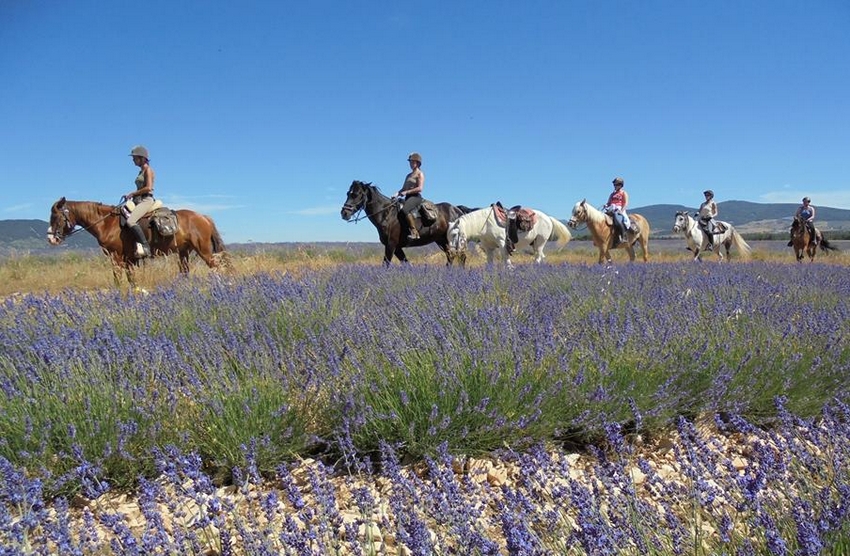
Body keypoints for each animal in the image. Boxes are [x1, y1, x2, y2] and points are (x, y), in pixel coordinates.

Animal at [47, 198, 227, 286]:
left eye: (56, 217)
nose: (51, 238)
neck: (107, 223)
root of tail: (203, 217)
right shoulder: (129, 260)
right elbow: (131, 280)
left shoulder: (116, 257)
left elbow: (118, 279)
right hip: (184, 252)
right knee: (185, 272)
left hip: (204, 251)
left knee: (218, 268)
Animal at [338, 179, 474, 264]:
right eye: (348, 193)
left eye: (357, 194)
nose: (344, 213)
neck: (386, 215)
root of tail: (457, 209)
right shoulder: (397, 248)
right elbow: (407, 263)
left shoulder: (391, 245)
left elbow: (386, 264)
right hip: (442, 240)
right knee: (451, 256)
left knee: (461, 257)